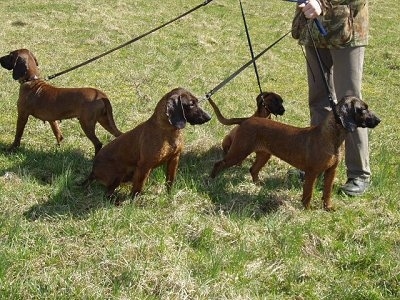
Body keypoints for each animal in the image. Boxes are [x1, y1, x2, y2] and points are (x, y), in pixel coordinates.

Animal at [211, 96, 380, 211]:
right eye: (362, 109)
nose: (379, 120)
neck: (332, 138)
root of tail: (247, 120)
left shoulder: (331, 171)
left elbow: (327, 192)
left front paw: (327, 207)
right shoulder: (312, 172)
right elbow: (308, 192)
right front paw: (307, 209)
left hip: (264, 155)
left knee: (253, 169)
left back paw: (257, 184)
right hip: (239, 152)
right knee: (219, 163)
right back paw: (212, 180)